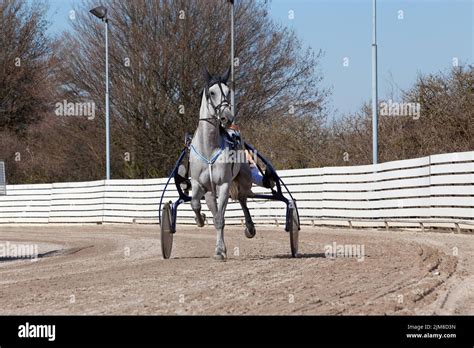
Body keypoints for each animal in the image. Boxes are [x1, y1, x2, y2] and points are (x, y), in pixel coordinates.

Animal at [189, 68, 256, 260]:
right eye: (212, 92)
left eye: (228, 91)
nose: (227, 117)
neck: (208, 148)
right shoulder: (198, 184)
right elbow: (195, 203)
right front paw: (200, 219)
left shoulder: (224, 184)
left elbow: (220, 219)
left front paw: (220, 251)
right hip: (210, 192)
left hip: (244, 180)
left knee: (243, 199)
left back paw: (250, 228)